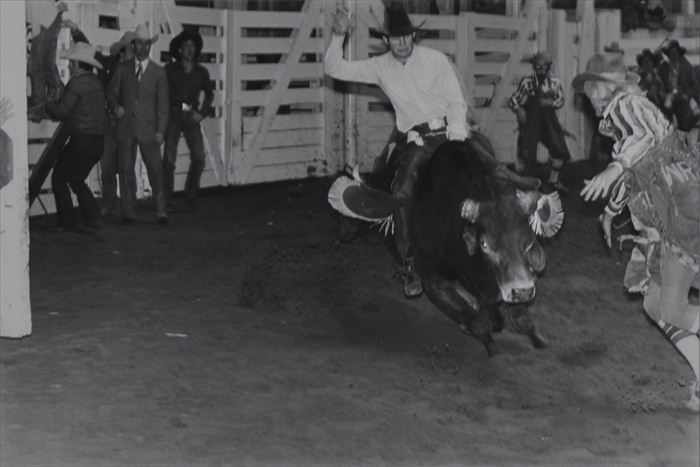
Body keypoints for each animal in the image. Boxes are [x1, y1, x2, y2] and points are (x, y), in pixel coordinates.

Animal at [328, 133, 564, 356]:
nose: (521, 291)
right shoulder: (433, 280)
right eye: (484, 244)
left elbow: (519, 317)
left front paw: (536, 337)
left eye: (529, 242)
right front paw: (489, 342)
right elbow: (478, 322)